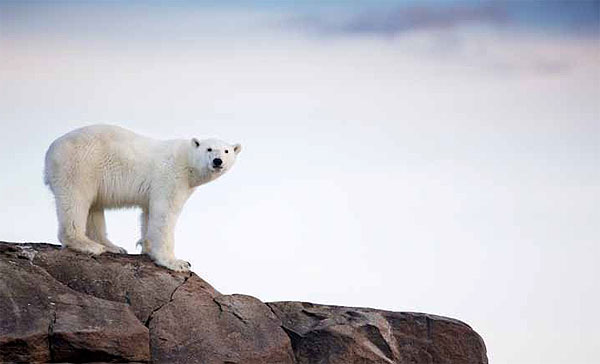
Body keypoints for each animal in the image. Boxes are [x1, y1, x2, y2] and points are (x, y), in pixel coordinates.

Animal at [43, 125, 240, 270]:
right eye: (209, 149)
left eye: (226, 151)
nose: (217, 161)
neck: (186, 161)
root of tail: (50, 149)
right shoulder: (170, 177)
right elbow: (164, 213)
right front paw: (177, 263)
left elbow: (149, 213)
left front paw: (148, 247)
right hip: (80, 164)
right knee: (76, 200)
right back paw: (88, 245)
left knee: (94, 207)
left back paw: (113, 247)